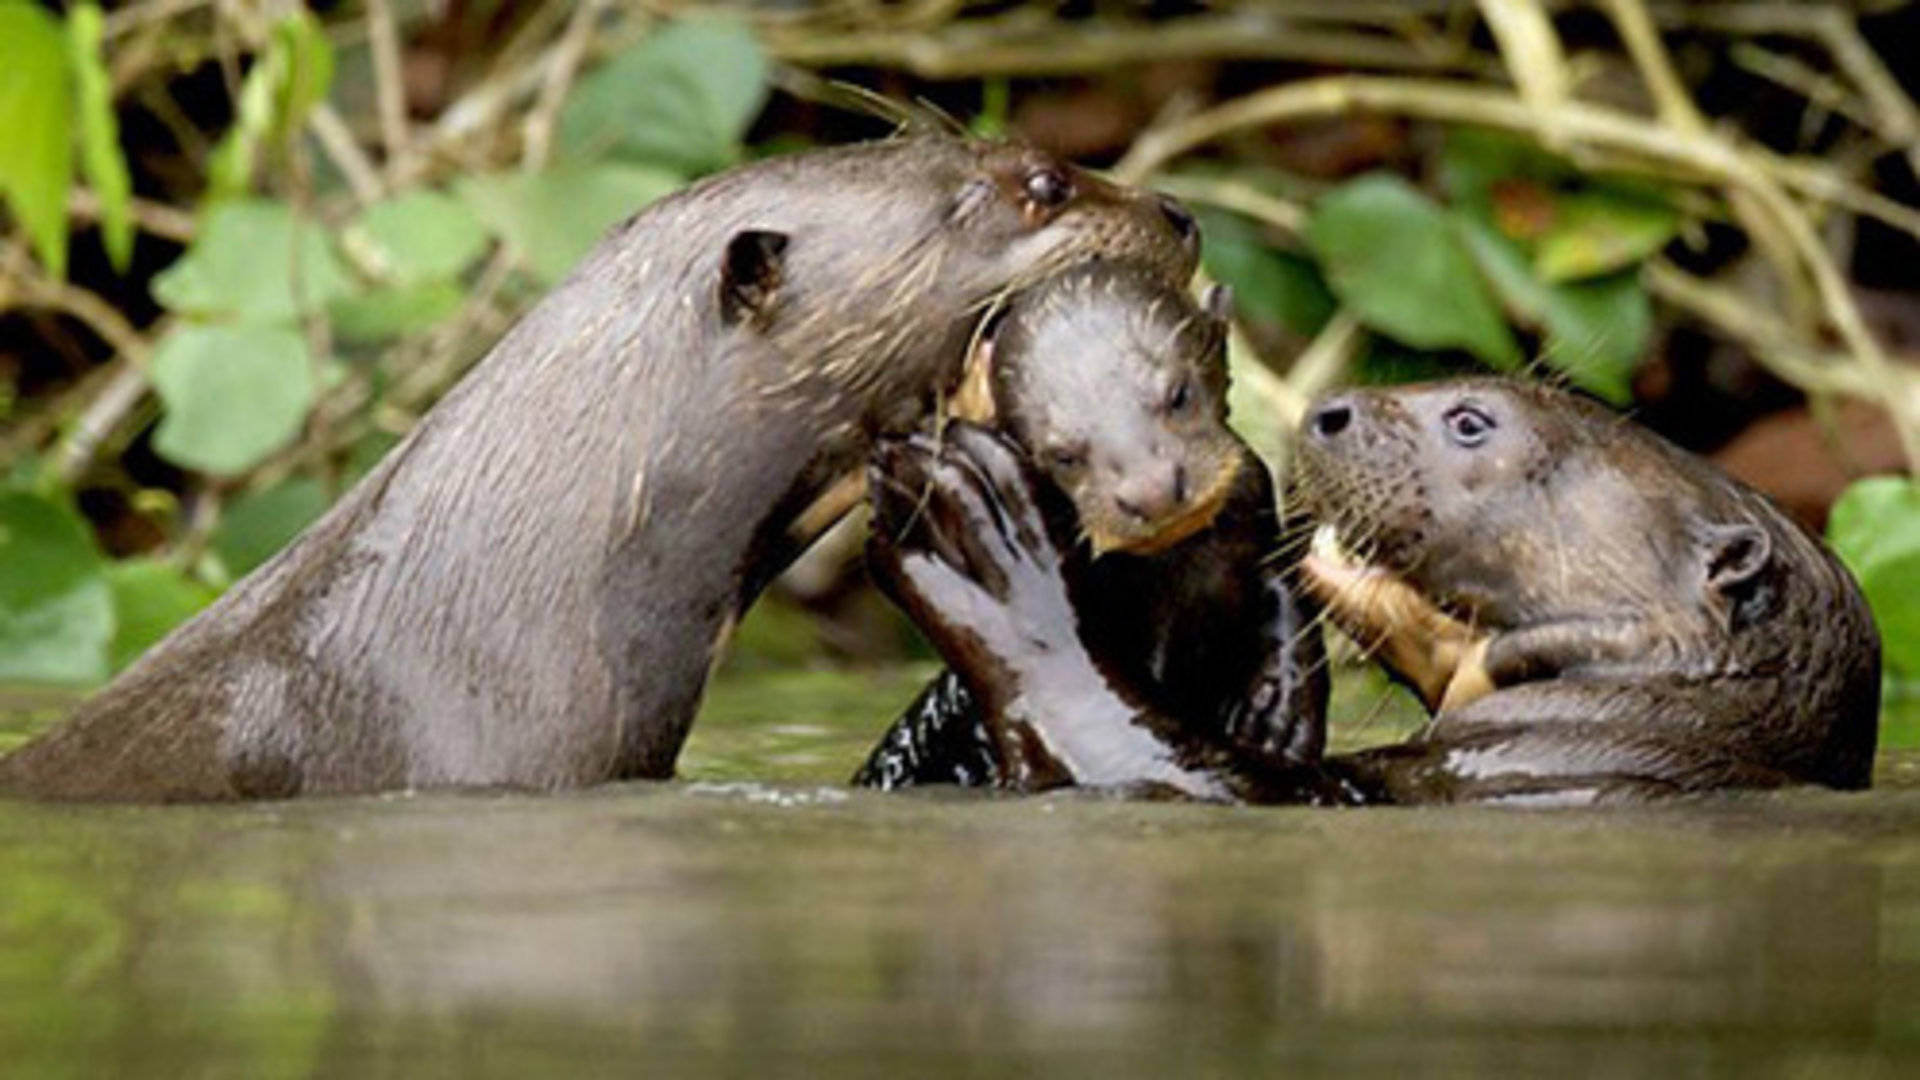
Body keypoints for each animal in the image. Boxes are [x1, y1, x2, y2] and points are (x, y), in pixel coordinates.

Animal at [860, 261, 1336, 795]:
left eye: (1178, 395)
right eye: (1064, 455)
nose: (1151, 490)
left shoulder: (1257, 514)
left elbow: (1287, 595)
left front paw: (1281, 708)